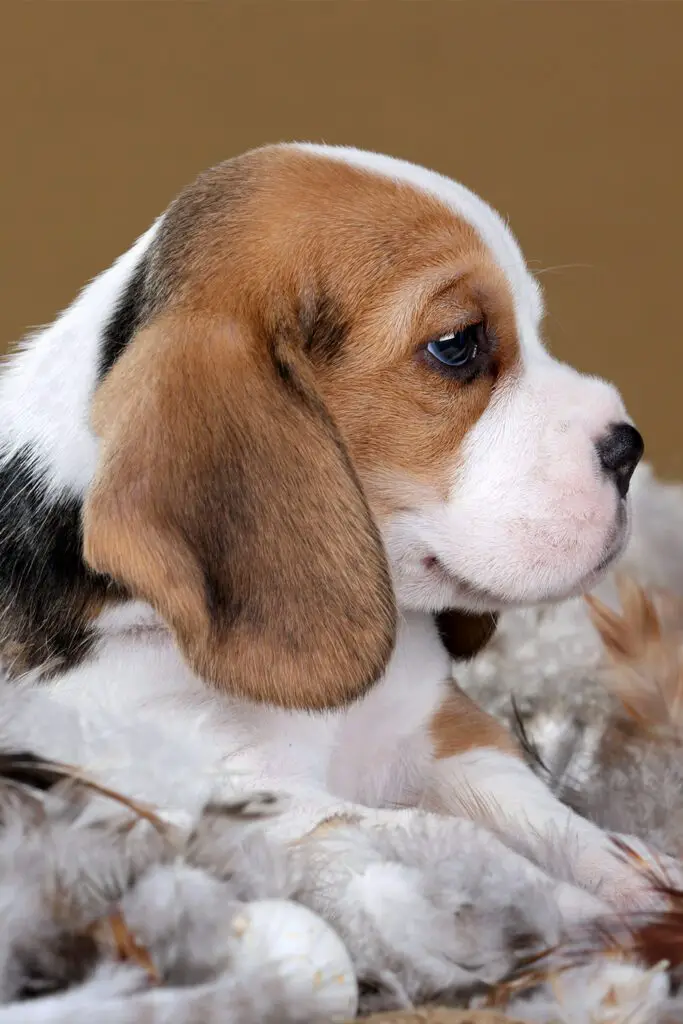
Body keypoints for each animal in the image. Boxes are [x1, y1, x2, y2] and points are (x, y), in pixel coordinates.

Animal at [0, 144, 651, 913]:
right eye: (457, 345)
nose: (629, 449)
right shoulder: (245, 800)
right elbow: (446, 844)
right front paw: (561, 911)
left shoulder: (444, 729)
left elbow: (548, 822)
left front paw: (641, 879)